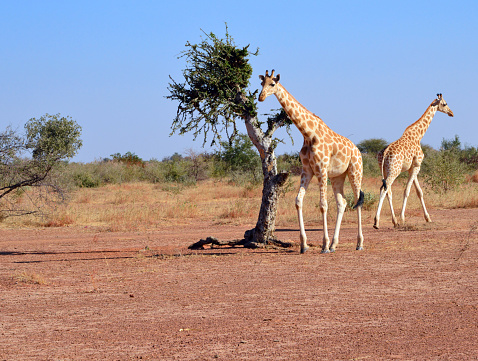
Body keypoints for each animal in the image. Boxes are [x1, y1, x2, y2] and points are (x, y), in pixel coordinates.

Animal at [258, 69, 366, 252]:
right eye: (261, 83)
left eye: (272, 84)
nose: (261, 97)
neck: (308, 133)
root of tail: (358, 151)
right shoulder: (307, 171)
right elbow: (298, 201)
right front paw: (304, 245)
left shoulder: (321, 169)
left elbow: (323, 205)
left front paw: (324, 245)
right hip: (337, 177)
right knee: (342, 202)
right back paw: (335, 244)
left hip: (355, 172)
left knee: (357, 201)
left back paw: (359, 243)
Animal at [374, 93, 456, 228]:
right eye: (445, 104)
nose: (451, 113)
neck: (418, 136)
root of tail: (384, 154)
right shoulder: (418, 165)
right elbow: (407, 190)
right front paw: (403, 218)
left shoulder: (412, 168)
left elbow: (419, 192)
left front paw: (428, 218)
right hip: (394, 170)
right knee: (384, 189)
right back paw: (377, 222)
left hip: (385, 171)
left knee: (388, 190)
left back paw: (394, 221)